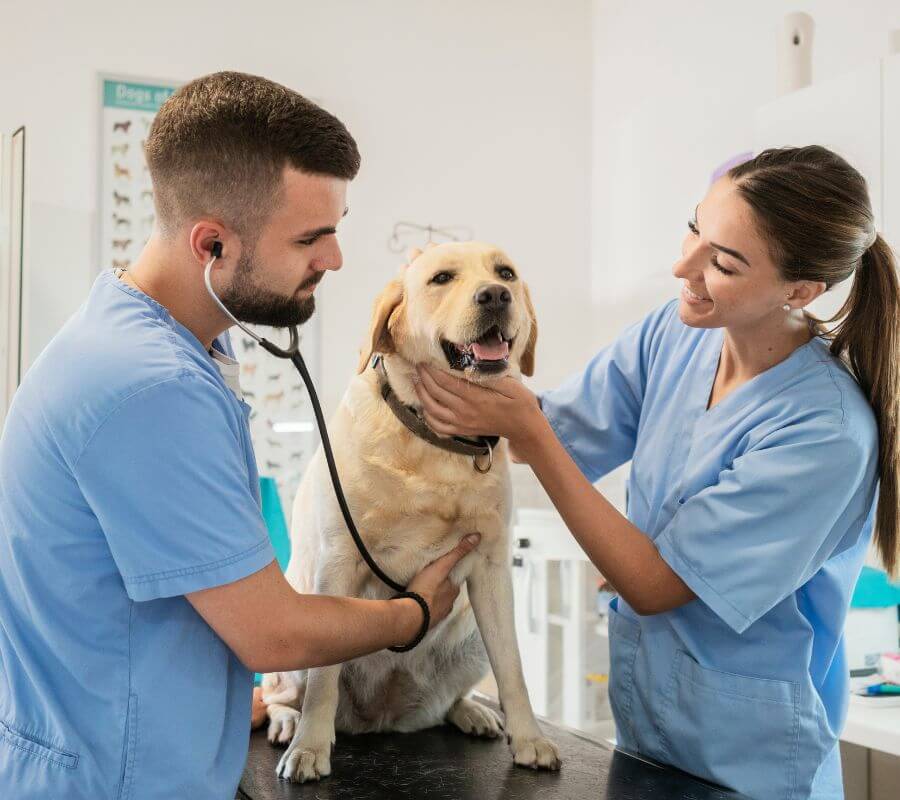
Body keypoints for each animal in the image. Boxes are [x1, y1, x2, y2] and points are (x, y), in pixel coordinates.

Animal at [260, 242, 560, 780]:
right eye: (441, 278)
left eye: (505, 272)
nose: (495, 295)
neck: (435, 443)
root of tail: (376, 717)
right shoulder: (339, 562)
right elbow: (322, 681)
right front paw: (310, 748)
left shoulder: (491, 568)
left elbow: (513, 667)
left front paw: (530, 739)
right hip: (289, 637)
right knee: (283, 691)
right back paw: (287, 723)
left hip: (469, 640)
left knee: (447, 701)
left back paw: (470, 712)